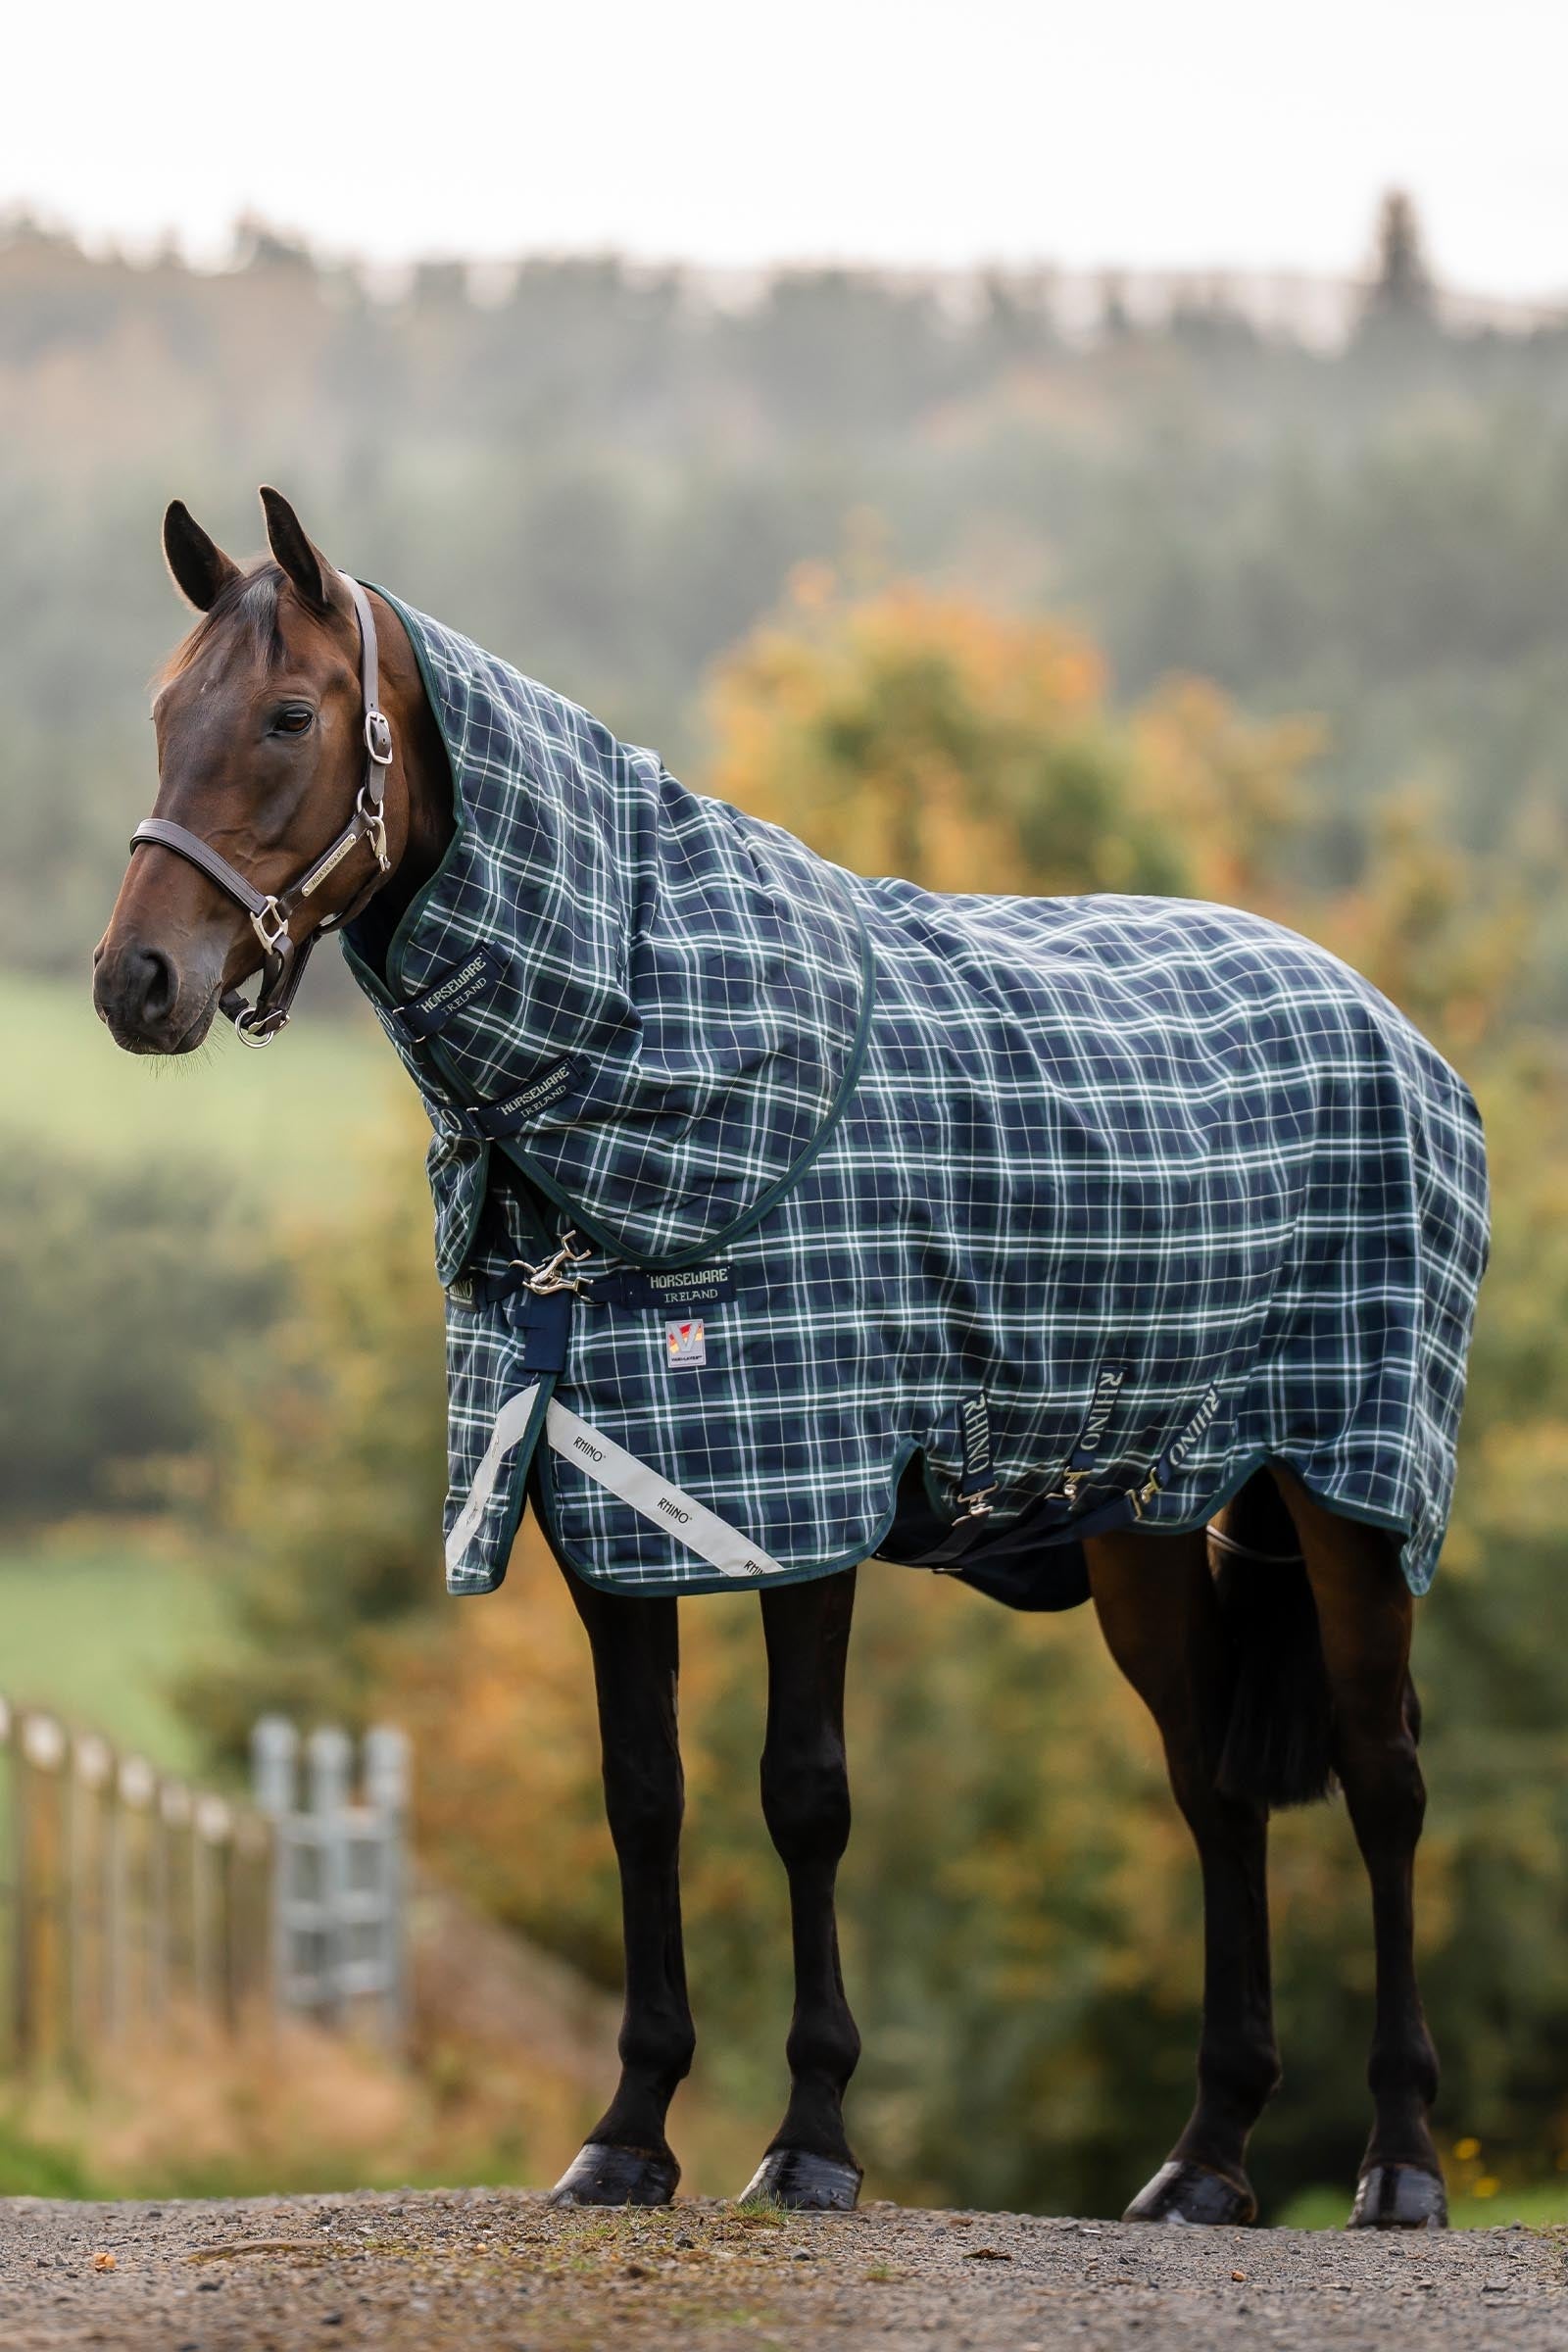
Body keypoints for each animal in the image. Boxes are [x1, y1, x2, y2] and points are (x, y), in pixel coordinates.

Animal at [94, 488, 1487, 2228]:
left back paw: (1400, 2163)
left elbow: (804, 1794)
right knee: (1214, 1789)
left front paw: (812, 2137)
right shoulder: (599, 1499)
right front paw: (628, 2132)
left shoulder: (798, 1507)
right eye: (165, 713)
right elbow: (643, 1797)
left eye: (289, 716)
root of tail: (1385, 1020)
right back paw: (1205, 2163)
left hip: (1352, 1496)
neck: (660, 1072)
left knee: (1385, 1781)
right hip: (1149, 1527)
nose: (136, 982)